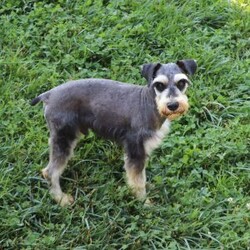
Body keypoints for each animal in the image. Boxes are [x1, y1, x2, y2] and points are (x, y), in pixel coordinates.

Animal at [30, 59, 196, 206]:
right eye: (159, 85)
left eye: (182, 83)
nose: (173, 105)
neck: (150, 103)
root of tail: (49, 95)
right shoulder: (135, 150)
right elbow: (138, 180)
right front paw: (144, 203)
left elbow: (141, 176)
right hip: (63, 137)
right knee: (50, 172)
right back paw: (61, 199)